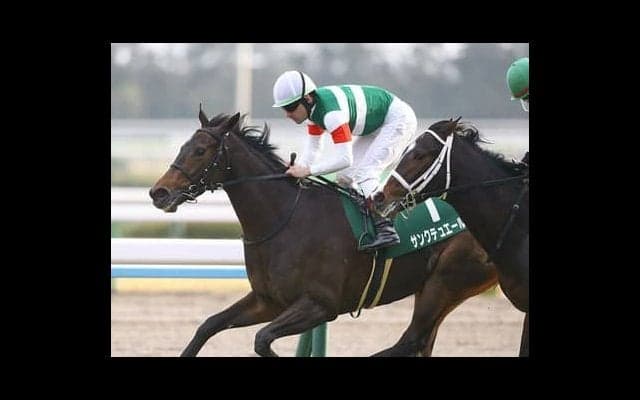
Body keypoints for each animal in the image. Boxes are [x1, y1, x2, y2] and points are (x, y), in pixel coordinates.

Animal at [149, 110, 498, 357]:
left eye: (201, 150)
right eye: (183, 146)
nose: (158, 193)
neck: (285, 219)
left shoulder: (321, 306)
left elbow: (262, 339)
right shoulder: (267, 301)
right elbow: (208, 326)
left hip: (445, 282)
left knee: (411, 340)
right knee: (419, 343)